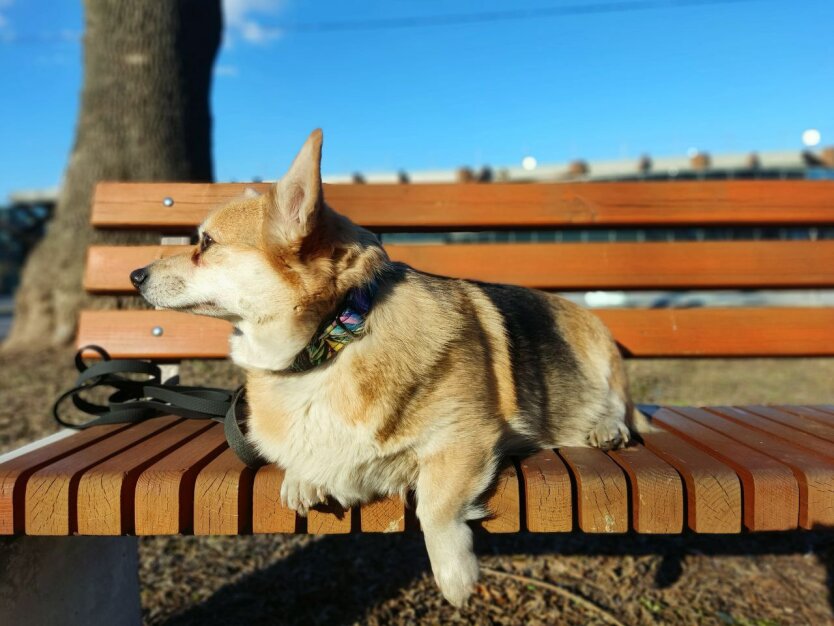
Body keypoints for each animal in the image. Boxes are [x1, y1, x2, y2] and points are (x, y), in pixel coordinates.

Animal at [133, 128, 632, 604]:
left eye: (206, 243)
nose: (135, 275)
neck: (331, 339)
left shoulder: (465, 439)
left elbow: (434, 506)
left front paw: (455, 576)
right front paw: (302, 477)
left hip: (601, 350)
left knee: (619, 405)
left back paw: (607, 428)